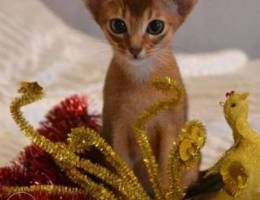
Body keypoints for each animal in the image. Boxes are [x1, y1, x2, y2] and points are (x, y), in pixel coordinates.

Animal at [85, 0, 197, 191]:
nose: (135, 49)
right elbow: (124, 173)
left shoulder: (169, 129)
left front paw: (165, 193)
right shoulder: (118, 128)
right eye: (118, 25)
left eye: (156, 26)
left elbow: (165, 176)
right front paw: (127, 192)